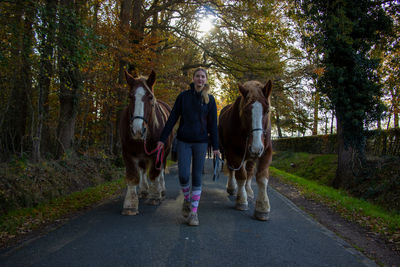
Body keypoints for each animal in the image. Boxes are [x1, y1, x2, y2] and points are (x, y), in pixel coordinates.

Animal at [119, 70, 172, 216]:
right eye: (130, 97)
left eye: (150, 97)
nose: (137, 129)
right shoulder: (127, 152)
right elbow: (133, 177)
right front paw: (130, 205)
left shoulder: (158, 152)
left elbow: (154, 174)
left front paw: (155, 196)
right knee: (143, 170)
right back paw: (143, 190)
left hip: (165, 153)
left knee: (160, 170)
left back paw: (161, 189)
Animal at [217, 80, 274, 222]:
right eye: (245, 111)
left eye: (267, 110)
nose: (256, 147)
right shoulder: (234, 153)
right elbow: (240, 176)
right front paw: (241, 200)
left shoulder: (266, 152)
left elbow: (261, 178)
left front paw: (262, 207)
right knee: (233, 170)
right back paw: (233, 188)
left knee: (249, 171)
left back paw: (248, 191)